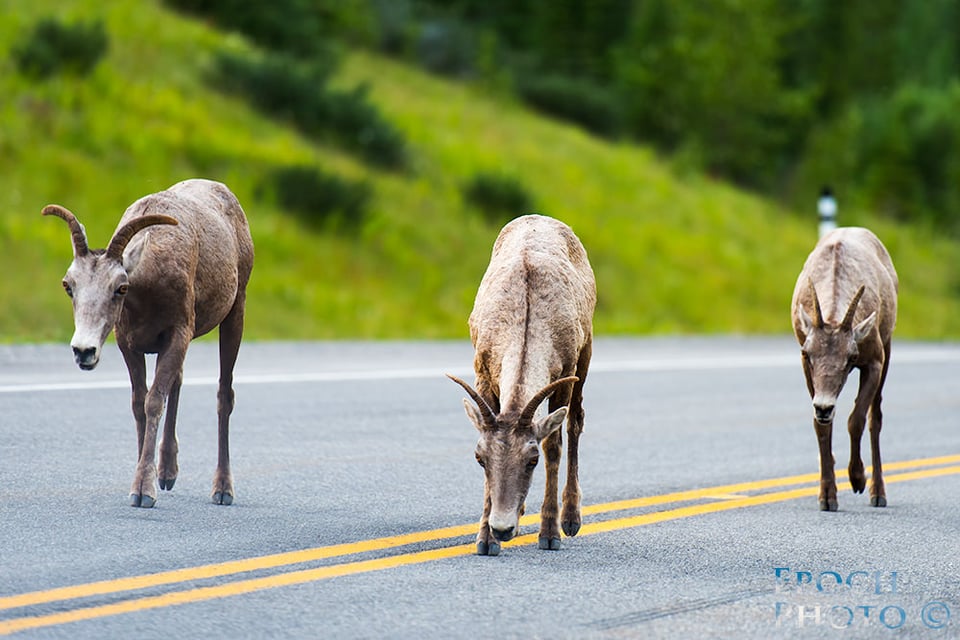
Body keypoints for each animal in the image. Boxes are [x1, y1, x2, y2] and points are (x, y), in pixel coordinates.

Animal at [44, 178, 255, 508]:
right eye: (68, 286)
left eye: (121, 288)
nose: (83, 351)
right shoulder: (129, 345)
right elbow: (139, 403)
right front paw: (147, 480)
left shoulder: (178, 334)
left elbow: (154, 401)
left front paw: (144, 491)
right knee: (178, 383)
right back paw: (167, 473)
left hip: (236, 312)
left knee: (224, 395)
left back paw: (222, 490)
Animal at [448, 215, 592, 556]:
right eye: (480, 458)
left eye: (532, 460)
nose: (502, 529)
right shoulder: (484, 376)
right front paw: (484, 541)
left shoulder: (564, 376)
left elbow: (554, 444)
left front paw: (550, 535)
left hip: (586, 358)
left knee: (575, 423)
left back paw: (571, 520)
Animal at [792, 228, 896, 512]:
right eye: (807, 353)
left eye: (851, 357)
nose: (824, 407)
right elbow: (821, 427)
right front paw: (827, 497)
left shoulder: (874, 362)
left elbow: (856, 419)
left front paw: (857, 479)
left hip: (889, 349)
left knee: (876, 417)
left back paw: (877, 494)